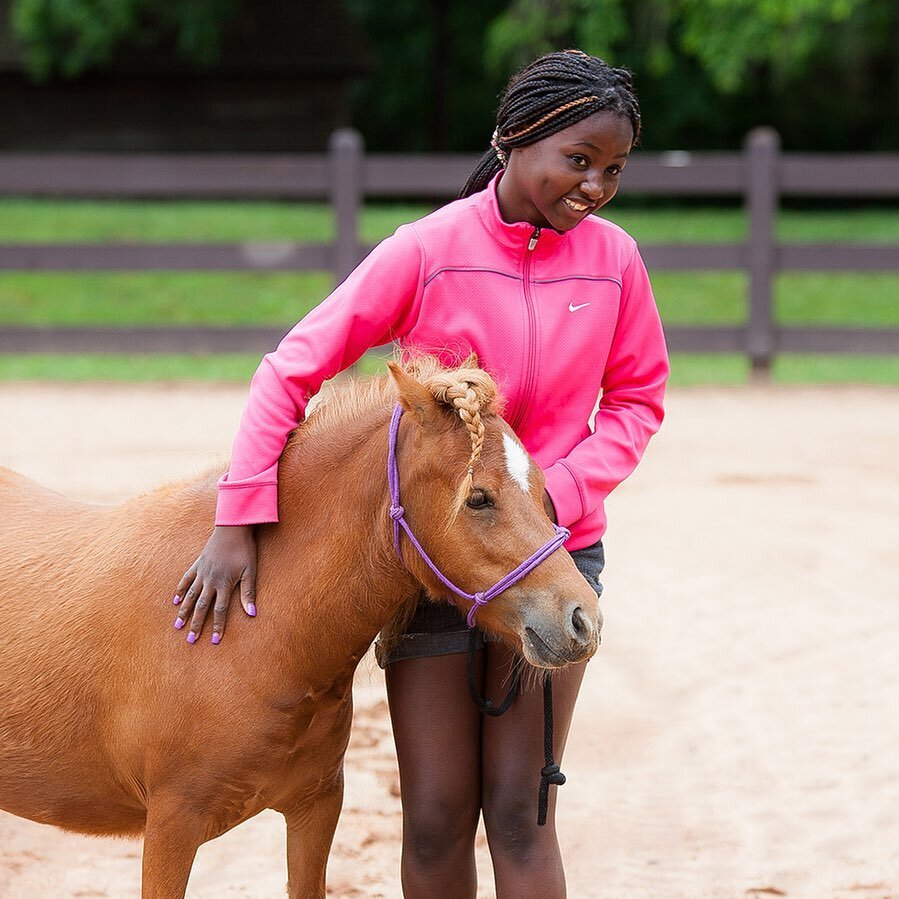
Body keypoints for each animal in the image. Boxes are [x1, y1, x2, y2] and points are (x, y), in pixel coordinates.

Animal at [1, 356, 604, 892]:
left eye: (543, 491)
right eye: (478, 499)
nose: (583, 620)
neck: (254, 633)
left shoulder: (315, 809)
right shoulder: (171, 828)